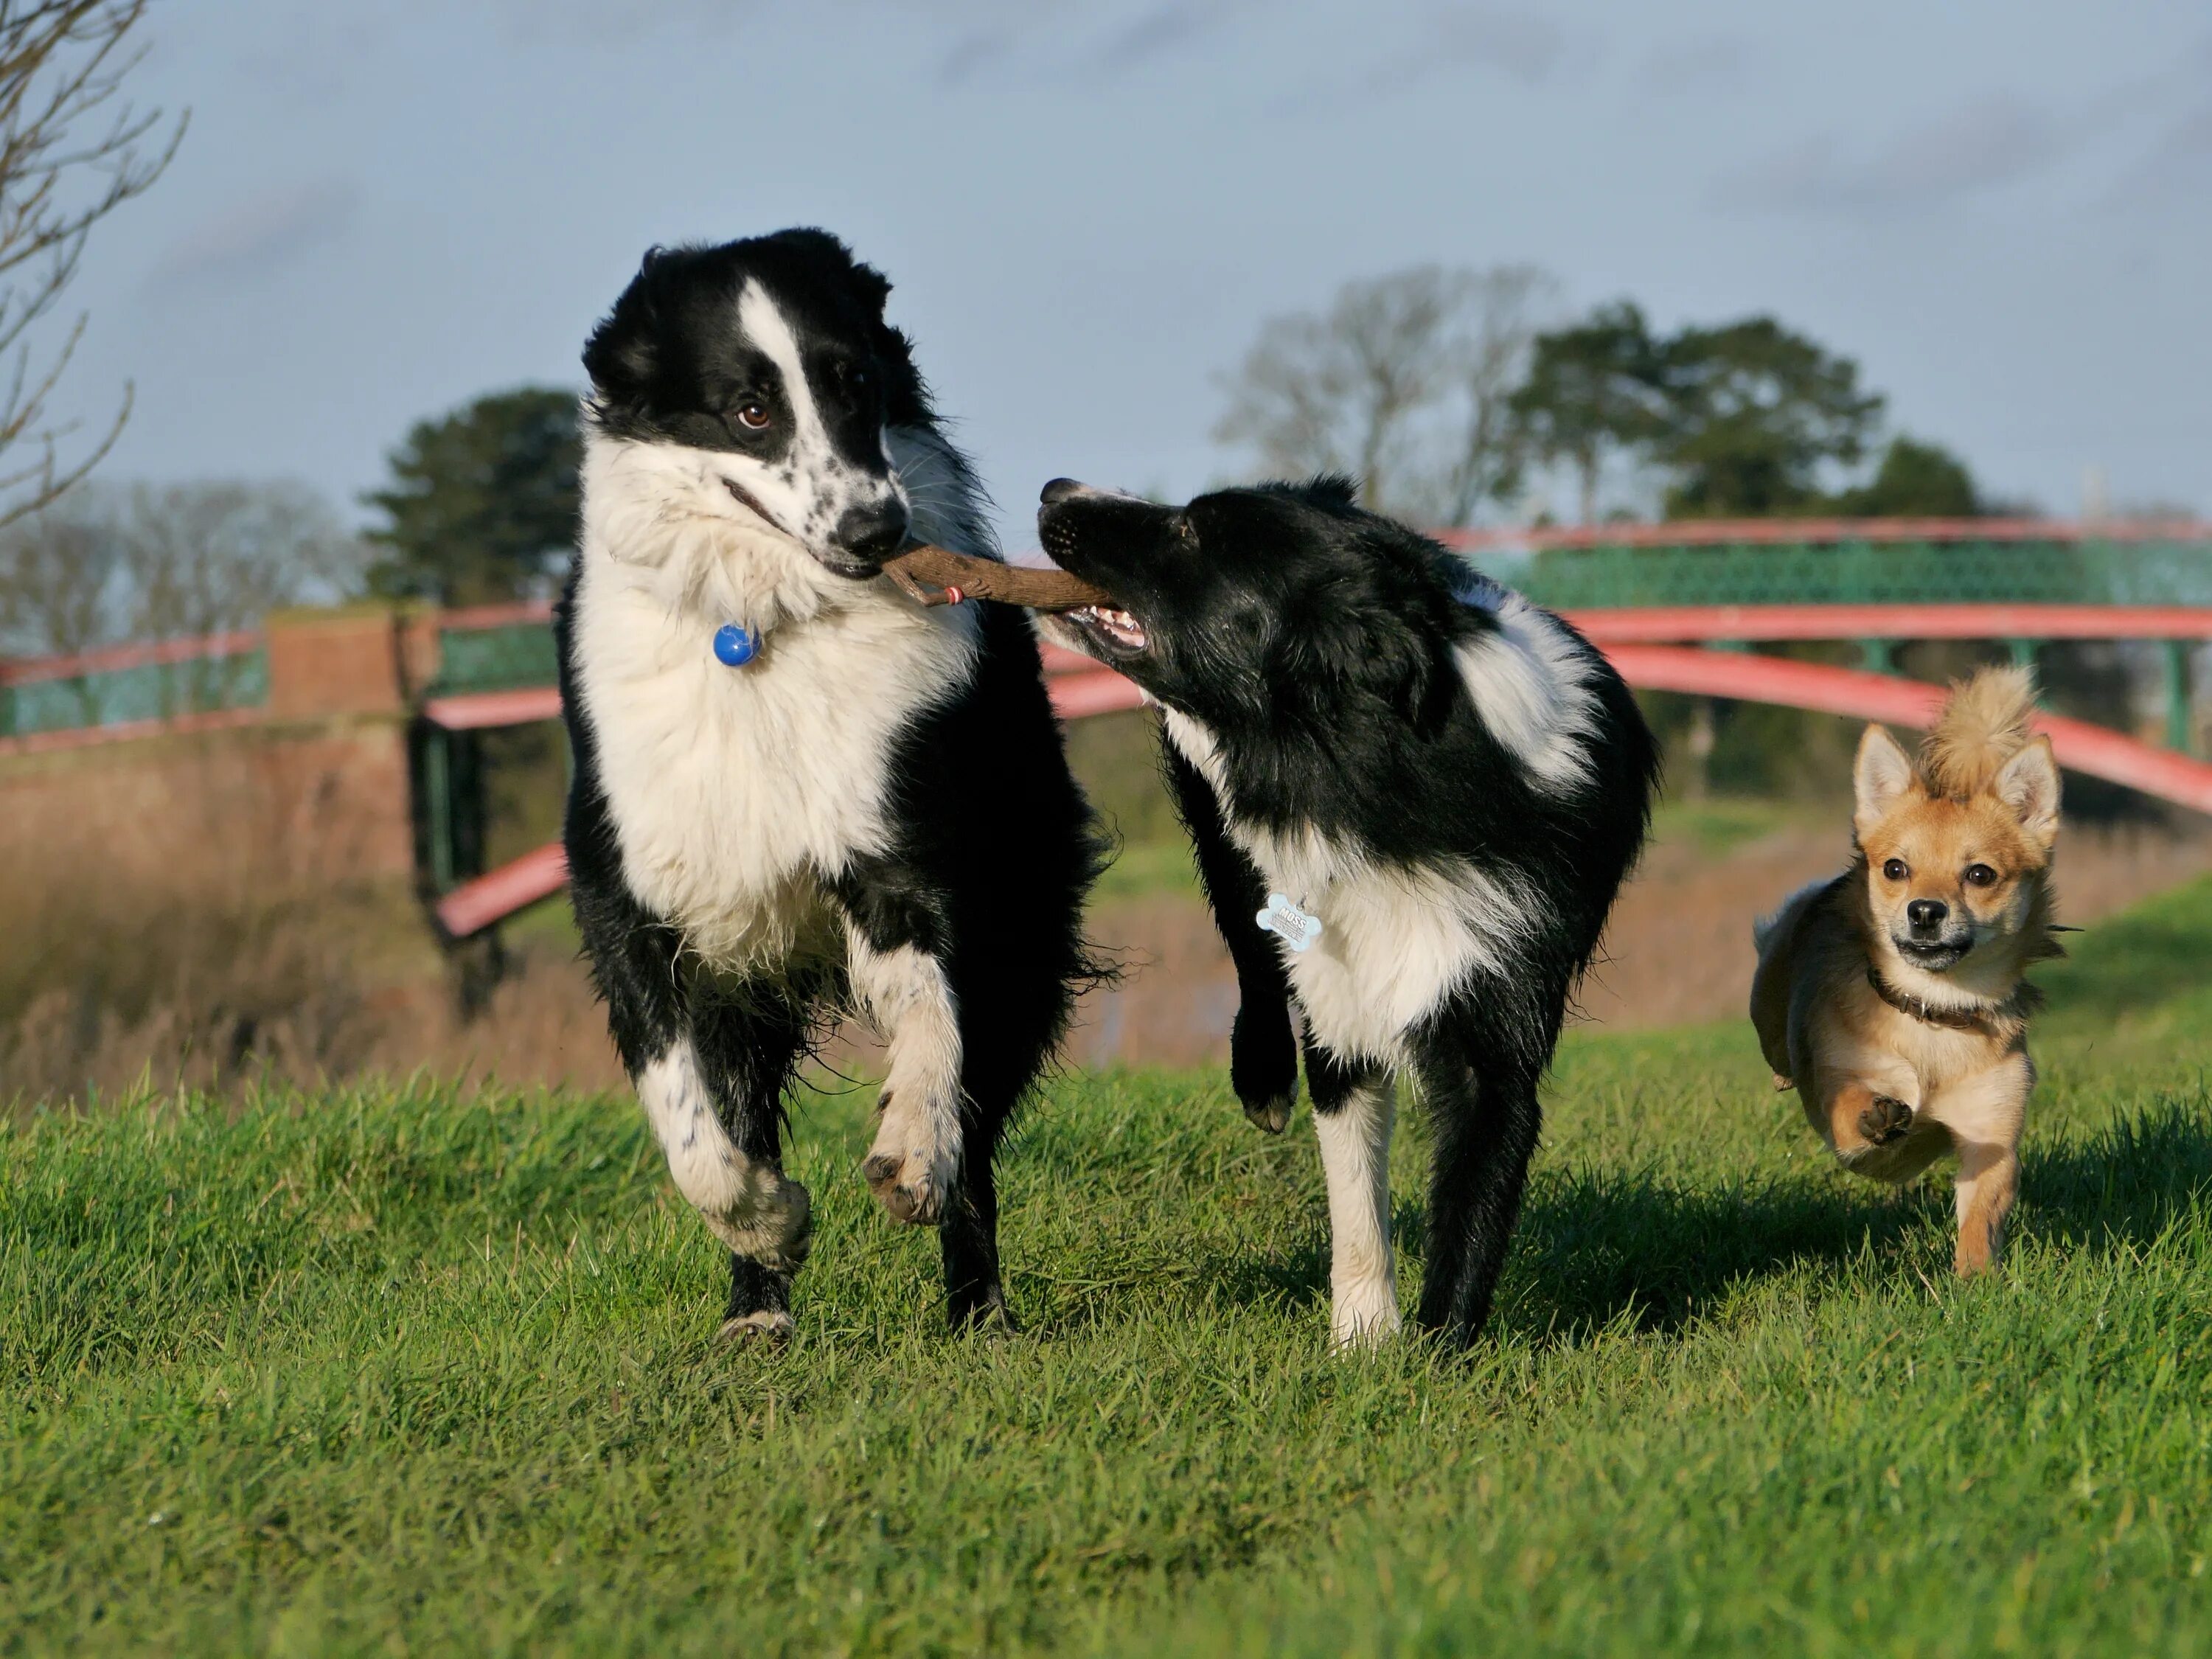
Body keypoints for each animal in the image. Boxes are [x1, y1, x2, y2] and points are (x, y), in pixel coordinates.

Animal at [557, 234, 1102, 1345]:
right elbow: (691, 1119)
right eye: (749, 410)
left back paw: (978, 1310)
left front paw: (910, 1155)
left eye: (856, 382)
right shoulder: (628, 892)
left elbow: (934, 1031)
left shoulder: (907, 857)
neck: (765, 625)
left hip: (1023, 913)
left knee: (979, 1117)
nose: (876, 528)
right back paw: (756, 1313)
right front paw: (769, 1224)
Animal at [1026, 478, 1655, 1354]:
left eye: (1193, 531)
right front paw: (1362, 1340)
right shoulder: (1337, 994)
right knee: (1250, 954)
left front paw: (1437, 1358)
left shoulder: (1499, 1021)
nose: (1055, 489)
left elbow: (1472, 1210)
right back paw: (1261, 1079)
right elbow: (1357, 1196)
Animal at [1752, 668, 2062, 1283]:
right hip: (1768, 1002)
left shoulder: (1990, 1136)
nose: (1925, 911)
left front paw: (1974, 1280)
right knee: (1778, 1050)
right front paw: (1876, 1115)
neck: (1933, 1012)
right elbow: (1851, 1109)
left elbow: (1982, 1213)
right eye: (1895, 869)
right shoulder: (1846, 1111)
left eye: (1980, 875)